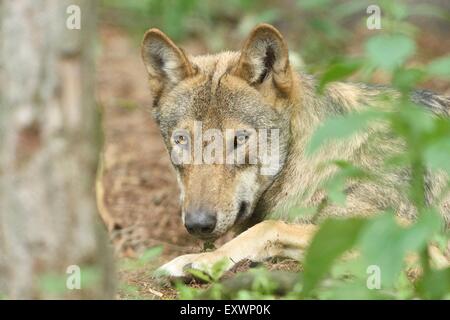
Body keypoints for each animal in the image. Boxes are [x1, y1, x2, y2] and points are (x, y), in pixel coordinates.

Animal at [141, 23, 450, 276]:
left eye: (239, 140)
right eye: (182, 140)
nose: (197, 224)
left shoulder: (415, 246)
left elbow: (270, 226)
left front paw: (198, 260)